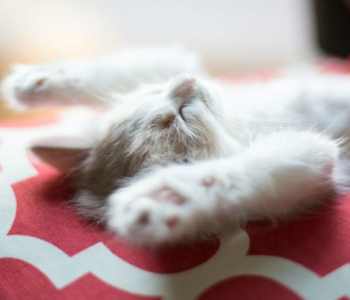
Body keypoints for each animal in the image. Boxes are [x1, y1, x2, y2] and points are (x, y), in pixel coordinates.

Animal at [2, 45, 350, 246]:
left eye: (153, 93)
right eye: (182, 115)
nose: (187, 81)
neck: (240, 123)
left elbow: (117, 75)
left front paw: (37, 82)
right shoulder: (313, 156)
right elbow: (228, 173)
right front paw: (164, 199)